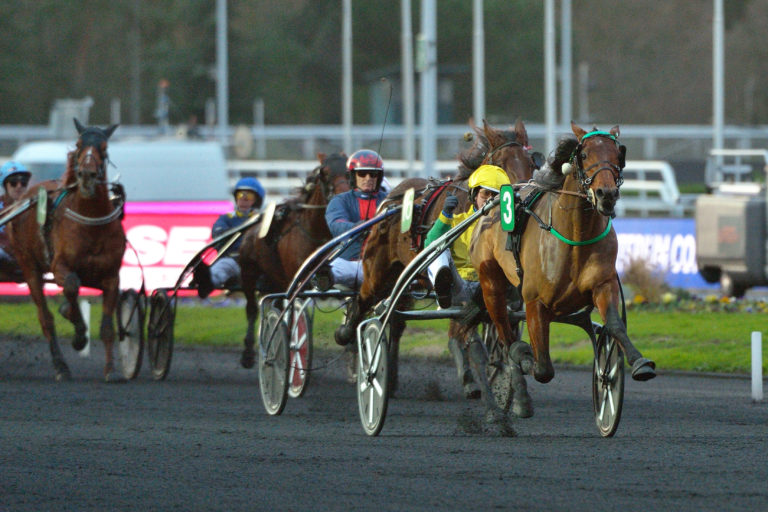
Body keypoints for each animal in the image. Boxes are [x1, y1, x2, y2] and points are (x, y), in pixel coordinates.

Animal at [8, 120, 126, 382]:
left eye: (104, 147)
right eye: (79, 144)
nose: (87, 175)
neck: (91, 222)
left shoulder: (111, 275)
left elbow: (107, 326)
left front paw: (111, 369)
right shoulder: (60, 266)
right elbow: (71, 284)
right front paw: (80, 334)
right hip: (28, 265)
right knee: (45, 318)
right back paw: (61, 365)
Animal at [238, 152, 350, 368]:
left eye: (348, 170)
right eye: (324, 172)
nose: (343, 193)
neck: (317, 234)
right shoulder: (298, 282)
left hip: (275, 280)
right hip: (248, 273)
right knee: (252, 309)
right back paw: (248, 353)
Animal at [336, 119, 540, 392]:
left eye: (531, 162)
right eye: (502, 164)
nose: (525, 195)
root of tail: (391, 201)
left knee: (396, 320)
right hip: (378, 272)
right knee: (363, 300)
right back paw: (347, 333)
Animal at [472, 120, 656, 420]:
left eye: (618, 155)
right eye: (584, 154)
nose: (607, 194)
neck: (576, 237)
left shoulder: (603, 285)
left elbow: (615, 325)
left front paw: (637, 364)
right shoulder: (535, 302)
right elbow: (542, 368)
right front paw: (526, 359)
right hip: (491, 283)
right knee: (504, 333)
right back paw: (517, 379)